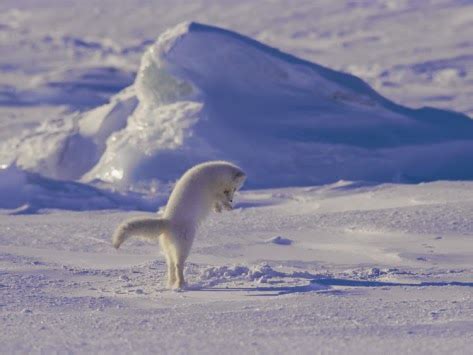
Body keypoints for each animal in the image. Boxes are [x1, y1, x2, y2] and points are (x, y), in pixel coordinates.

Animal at [111, 161, 243, 290]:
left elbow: (217, 202)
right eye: (227, 191)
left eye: (235, 189)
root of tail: (168, 222)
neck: (214, 174)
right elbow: (219, 199)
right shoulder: (214, 192)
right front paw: (226, 207)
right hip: (184, 244)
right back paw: (181, 284)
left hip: (168, 248)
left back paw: (171, 283)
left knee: (170, 265)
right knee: (178, 264)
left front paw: (219, 209)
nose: (231, 200)